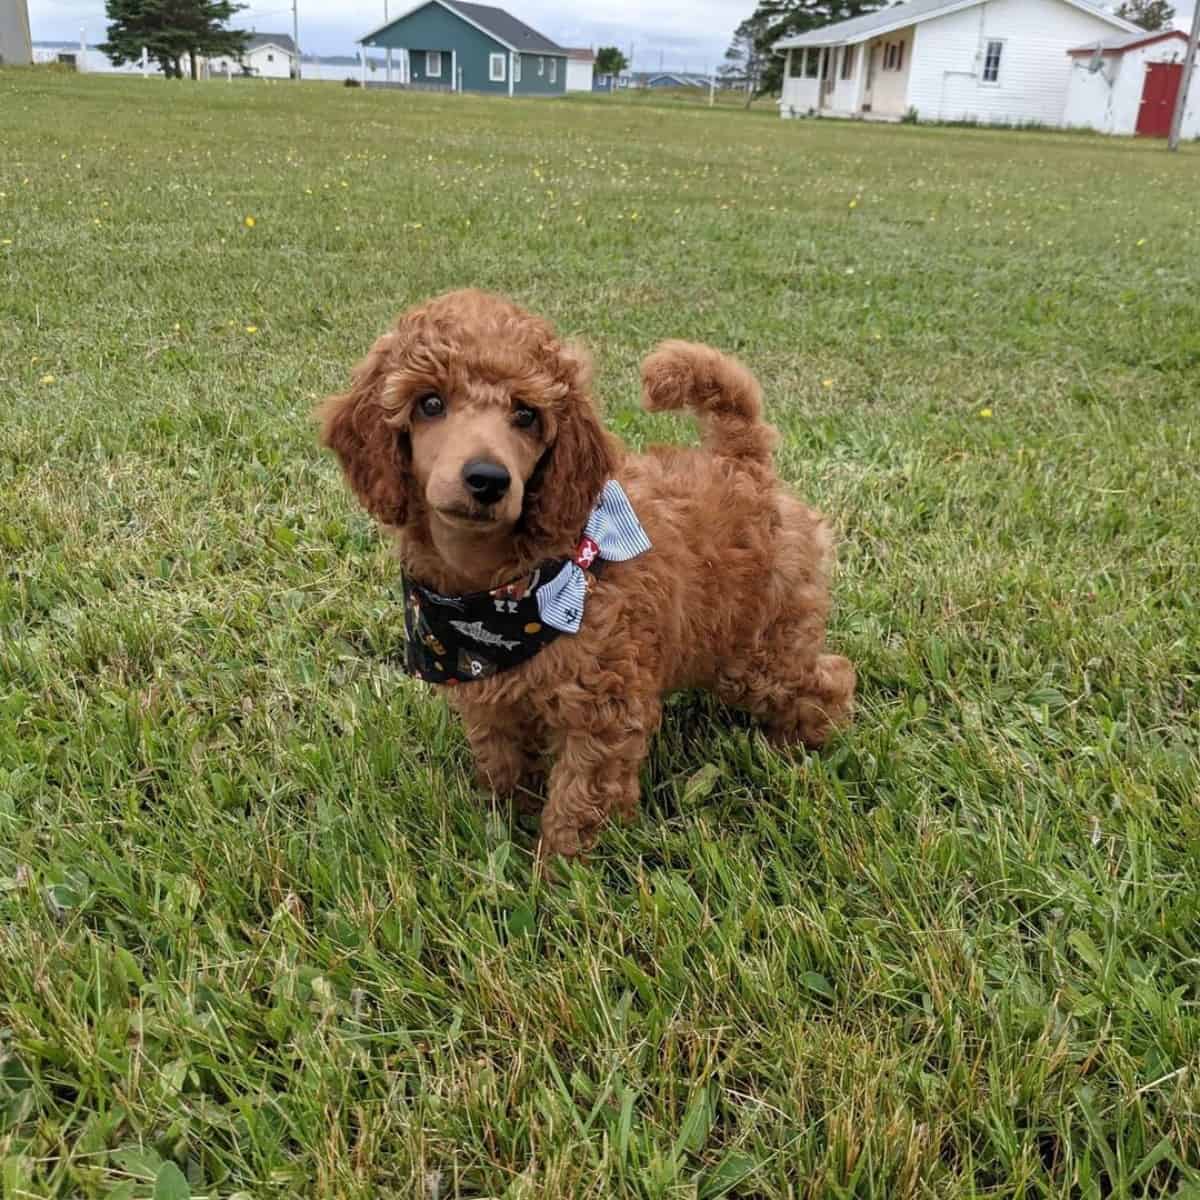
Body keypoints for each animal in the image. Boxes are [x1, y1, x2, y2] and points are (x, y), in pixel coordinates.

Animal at [319, 285, 854, 859]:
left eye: (526, 415)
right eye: (430, 404)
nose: (487, 479)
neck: (504, 589)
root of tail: (742, 464)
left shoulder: (604, 709)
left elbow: (579, 803)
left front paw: (558, 871)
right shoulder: (491, 702)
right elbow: (504, 765)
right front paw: (506, 821)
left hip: (757, 648)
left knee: (828, 677)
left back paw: (803, 745)